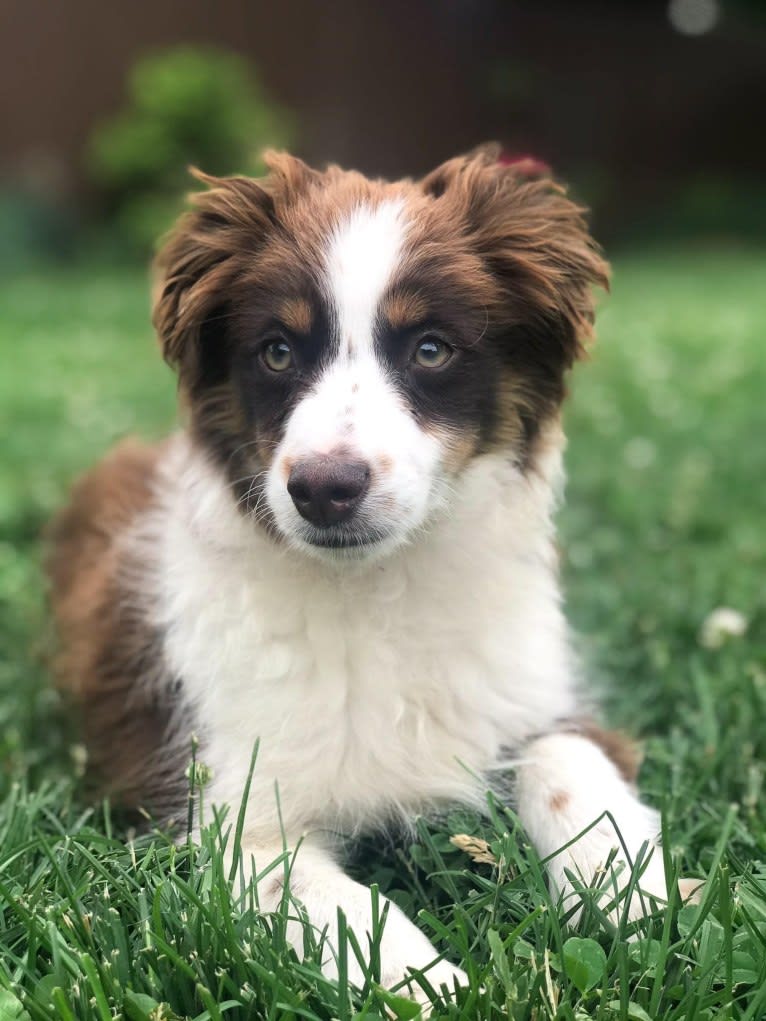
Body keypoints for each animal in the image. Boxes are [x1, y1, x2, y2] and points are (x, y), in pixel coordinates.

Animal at [48, 148, 674, 1000]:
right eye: (277, 351)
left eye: (431, 348)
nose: (323, 488)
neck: (377, 585)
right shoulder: (230, 824)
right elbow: (343, 906)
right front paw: (439, 985)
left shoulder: (535, 693)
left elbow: (570, 760)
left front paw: (632, 893)